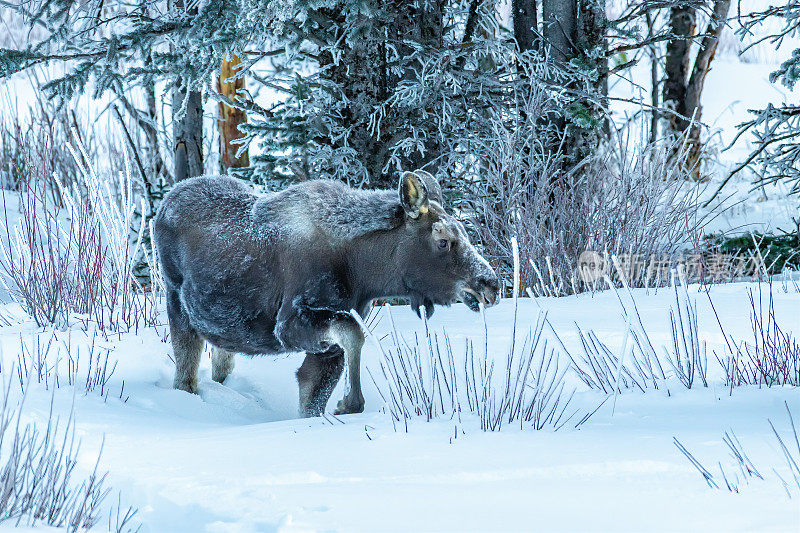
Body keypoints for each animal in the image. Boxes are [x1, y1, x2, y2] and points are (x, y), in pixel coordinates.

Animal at [153, 170, 496, 416]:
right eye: (443, 240)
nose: (490, 284)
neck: (362, 271)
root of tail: (166, 201)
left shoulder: (326, 345)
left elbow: (313, 396)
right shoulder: (289, 324)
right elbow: (354, 333)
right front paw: (349, 402)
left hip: (223, 327)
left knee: (222, 361)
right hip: (177, 303)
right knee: (185, 373)